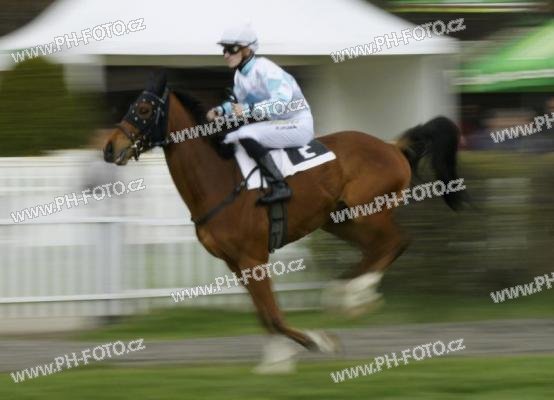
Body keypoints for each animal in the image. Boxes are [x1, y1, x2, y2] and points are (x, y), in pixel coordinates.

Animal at [103, 73, 465, 373]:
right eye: (130, 104)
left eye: (144, 109)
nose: (109, 147)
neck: (219, 178)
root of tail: (392, 146)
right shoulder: (236, 263)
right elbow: (265, 315)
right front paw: (278, 359)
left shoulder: (252, 257)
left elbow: (274, 315)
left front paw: (315, 342)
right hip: (339, 219)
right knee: (375, 249)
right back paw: (346, 293)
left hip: (368, 211)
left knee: (396, 241)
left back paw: (356, 294)